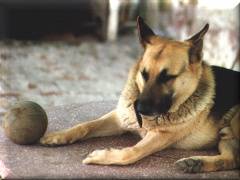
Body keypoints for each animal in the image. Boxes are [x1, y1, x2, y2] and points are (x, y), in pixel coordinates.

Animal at [39, 16, 240, 173]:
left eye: (168, 77)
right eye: (144, 74)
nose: (140, 109)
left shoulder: (160, 136)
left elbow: (131, 152)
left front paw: (102, 156)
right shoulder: (120, 117)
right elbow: (86, 125)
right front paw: (61, 135)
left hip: (235, 121)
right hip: (226, 136)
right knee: (232, 159)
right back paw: (196, 163)